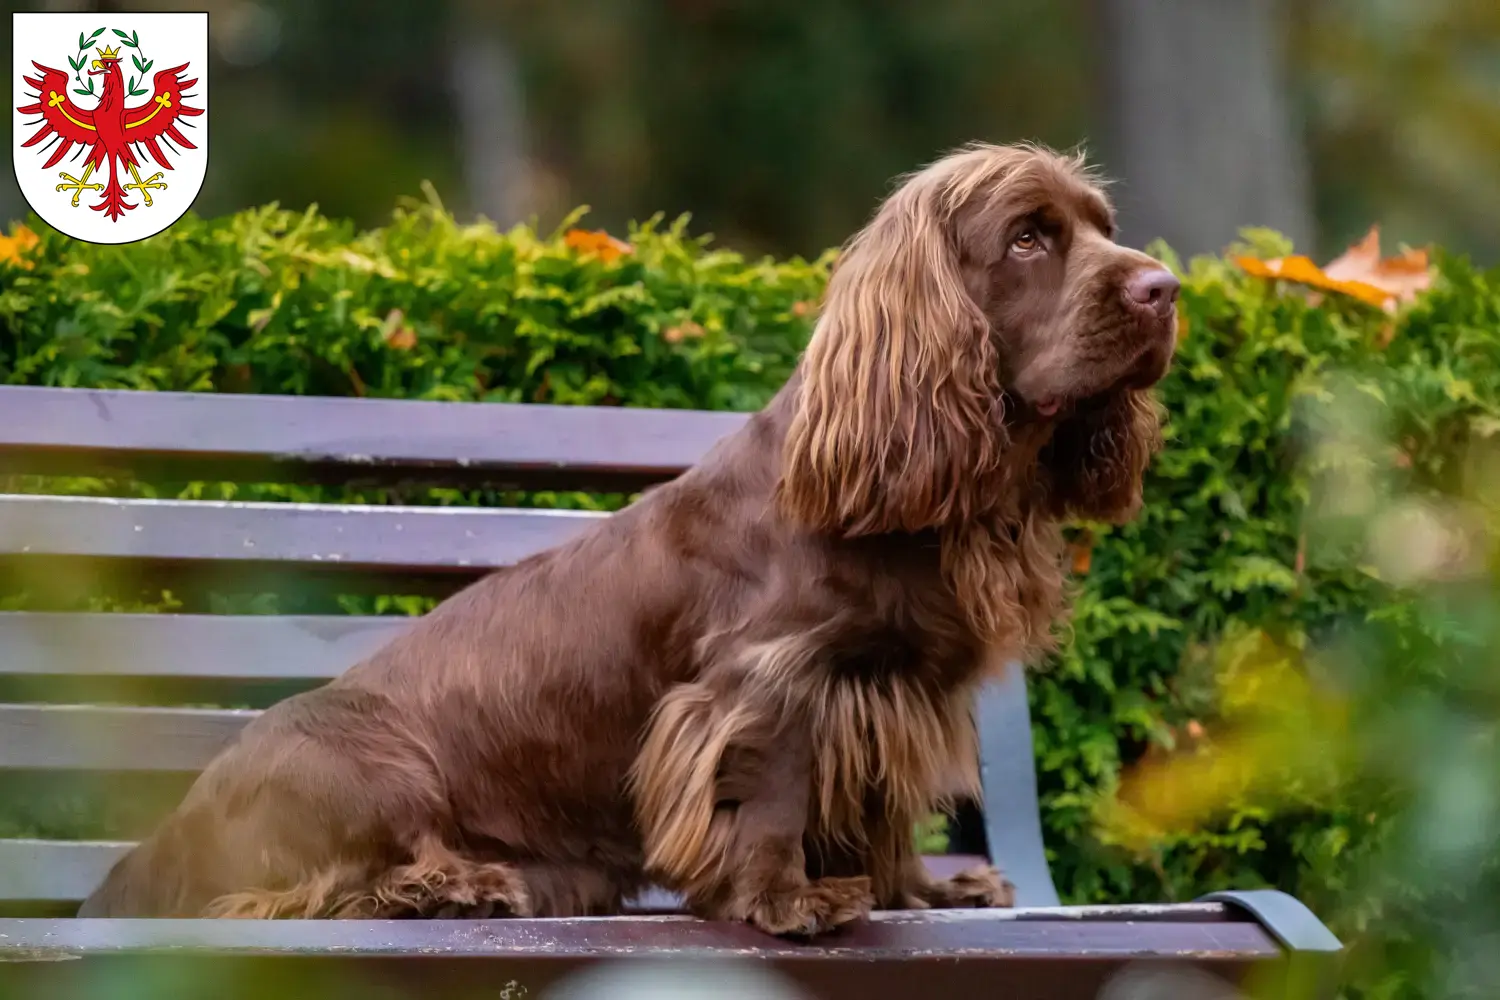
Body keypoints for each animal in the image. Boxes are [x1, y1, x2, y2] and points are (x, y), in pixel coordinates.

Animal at [82, 142, 1176, 941]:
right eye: (1028, 239)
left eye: (1103, 229)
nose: (1165, 289)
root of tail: (168, 832)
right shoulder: (768, 679)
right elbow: (775, 790)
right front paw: (787, 901)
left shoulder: (892, 690)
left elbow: (880, 808)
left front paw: (921, 890)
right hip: (375, 767)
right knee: (295, 893)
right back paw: (454, 886)